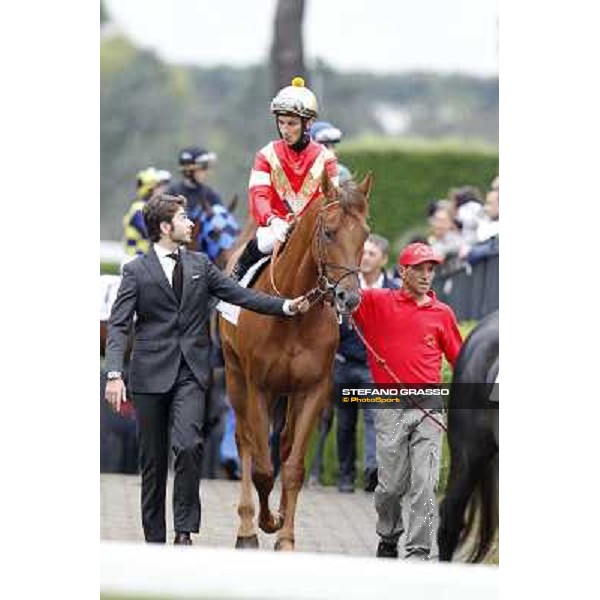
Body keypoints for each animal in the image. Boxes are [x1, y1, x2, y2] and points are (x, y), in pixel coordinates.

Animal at [219, 171, 370, 552]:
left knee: (284, 444)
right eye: (329, 232)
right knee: (245, 441)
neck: (293, 318)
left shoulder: (313, 390)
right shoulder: (258, 387)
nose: (349, 298)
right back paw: (247, 526)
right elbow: (262, 468)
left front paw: (285, 535)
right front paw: (266, 522)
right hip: (235, 375)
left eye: (365, 233)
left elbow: (292, 466)